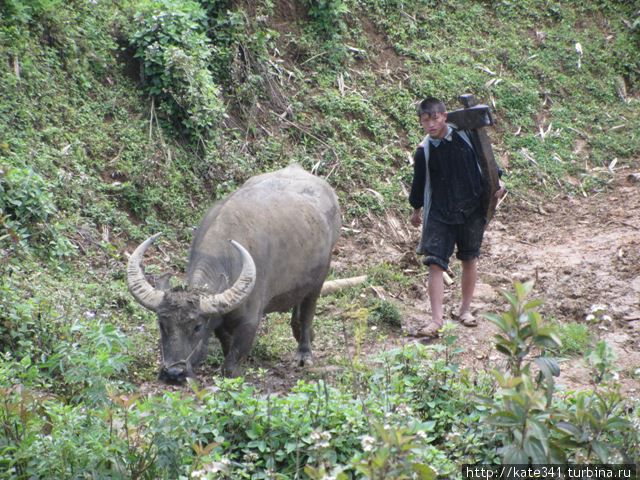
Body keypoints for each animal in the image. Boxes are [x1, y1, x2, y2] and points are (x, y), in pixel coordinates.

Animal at [127, 165, 342, 382]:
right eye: (162, 324)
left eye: (197, 327)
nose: (173, 373)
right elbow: (225, 342)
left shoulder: (250, 320)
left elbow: (231, 365)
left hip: (319, 279)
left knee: (308, 311)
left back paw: (304, 353)